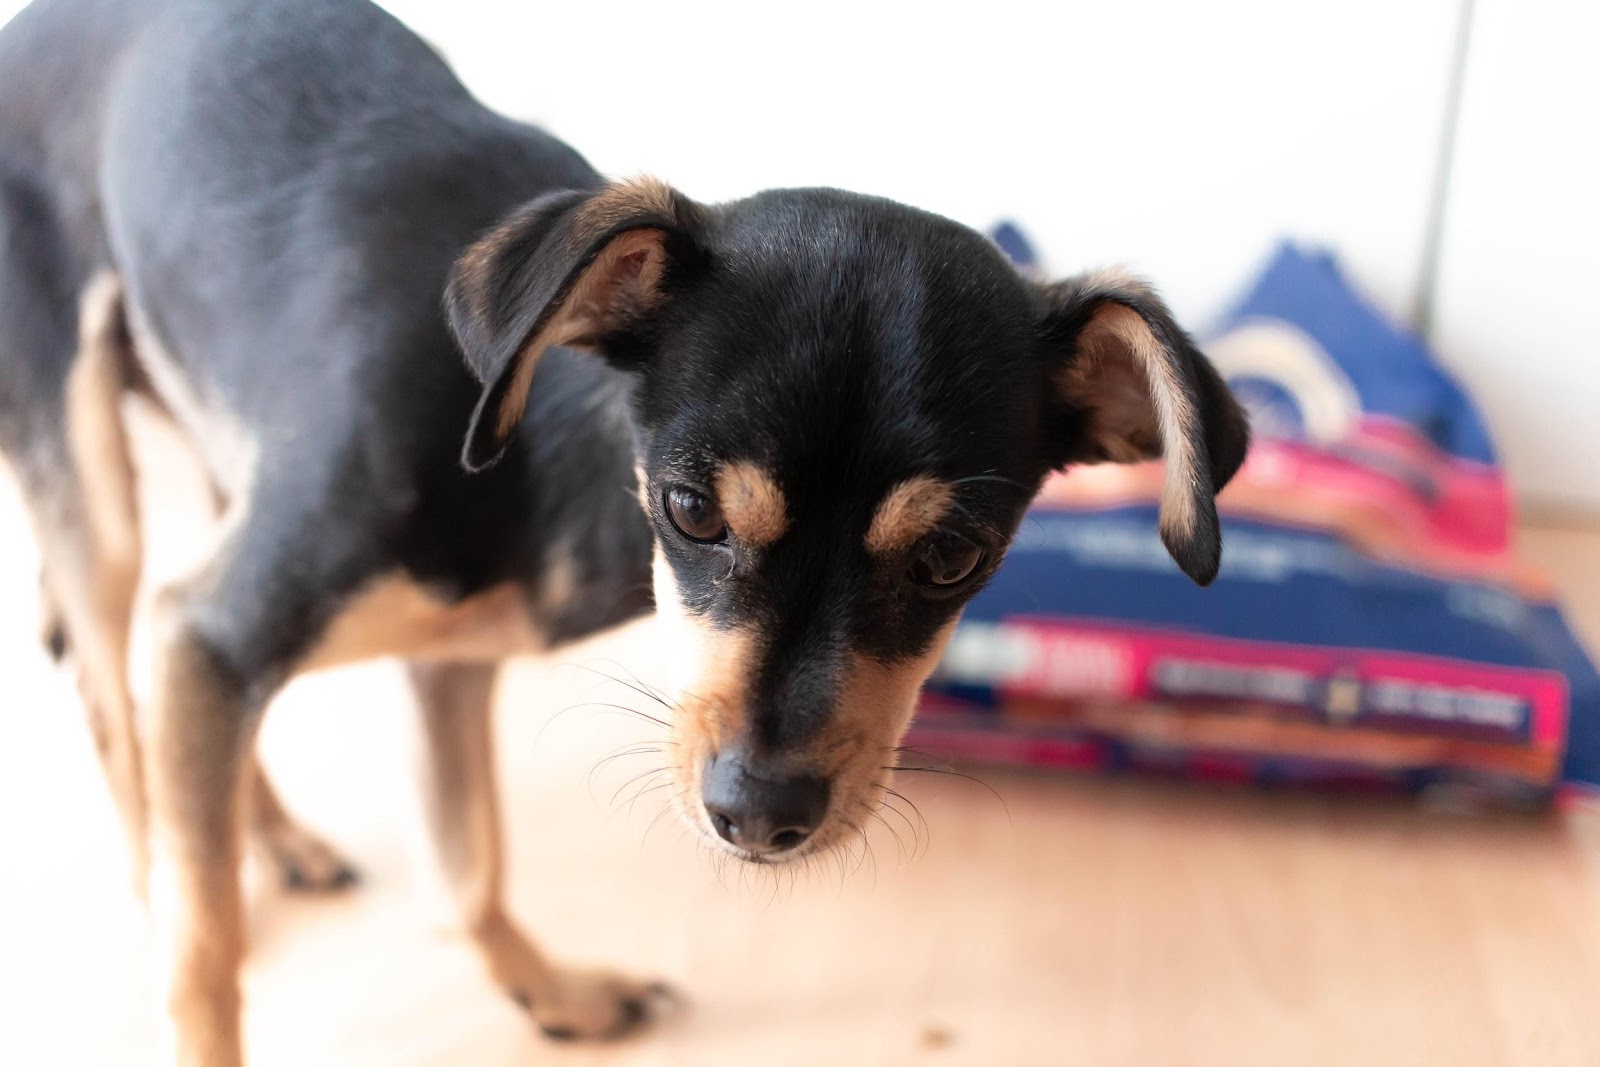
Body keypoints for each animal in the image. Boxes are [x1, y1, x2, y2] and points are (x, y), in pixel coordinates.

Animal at [0, 0, 1249, 1062]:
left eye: (953, 557)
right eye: (690, 509)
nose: (761, 816)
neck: (536, 445)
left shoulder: (436, 661)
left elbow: (464, 867)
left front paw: (550, 991)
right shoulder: (228, 624)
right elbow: (208, 949)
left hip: (221, 476)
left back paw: (273, 834)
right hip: (97, 493)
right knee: (118, 716)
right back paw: (166, 869)